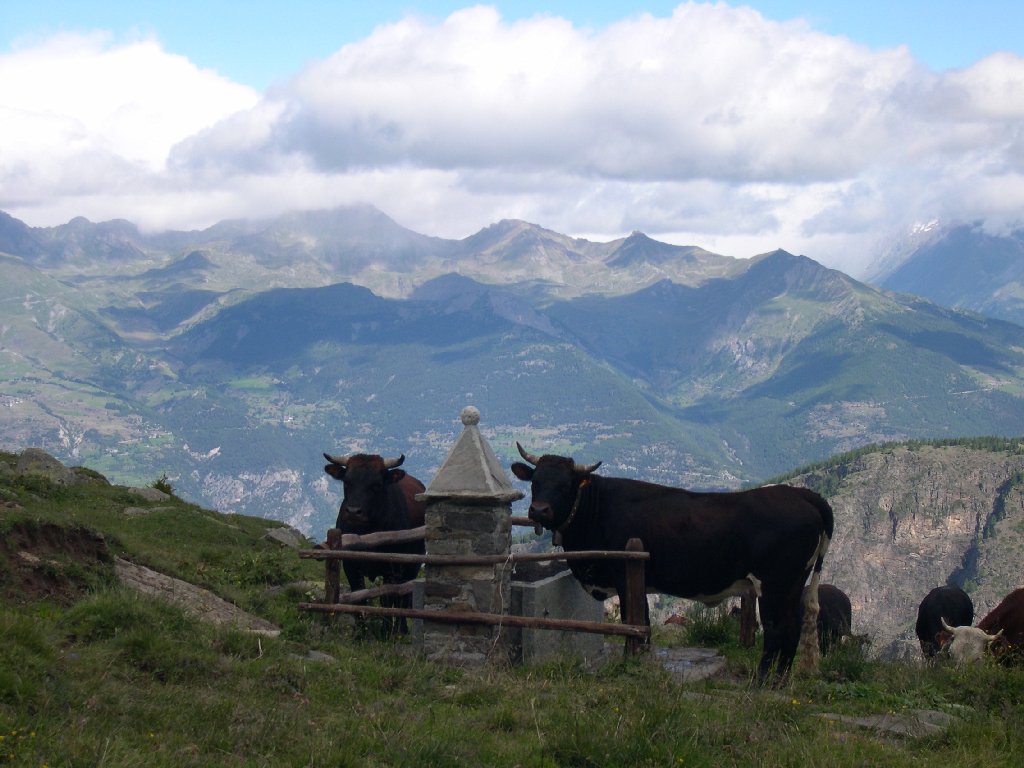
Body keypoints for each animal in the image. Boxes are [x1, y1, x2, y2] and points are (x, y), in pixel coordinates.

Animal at [323, 450, 428, 638]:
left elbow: (387, 599)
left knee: (404, 597)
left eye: (376, 485)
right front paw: (361, 633)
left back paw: (402, 629)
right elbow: (359, 597)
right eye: (347, 482)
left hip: (412, 564)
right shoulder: (350, 565)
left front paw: (385, 632)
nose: (353, 511)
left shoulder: (392, 568)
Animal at [509, 442, 831, 684]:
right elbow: (644, 621)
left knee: (778, 628)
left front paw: (630, 661)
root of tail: (801, 494)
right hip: (793, 583)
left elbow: (633, 620)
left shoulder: (625, 574)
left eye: (565, 485)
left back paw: (763, 680)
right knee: (792, 628)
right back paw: (779, 680)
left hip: (775, 583)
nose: (538, 510)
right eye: (535, 482)